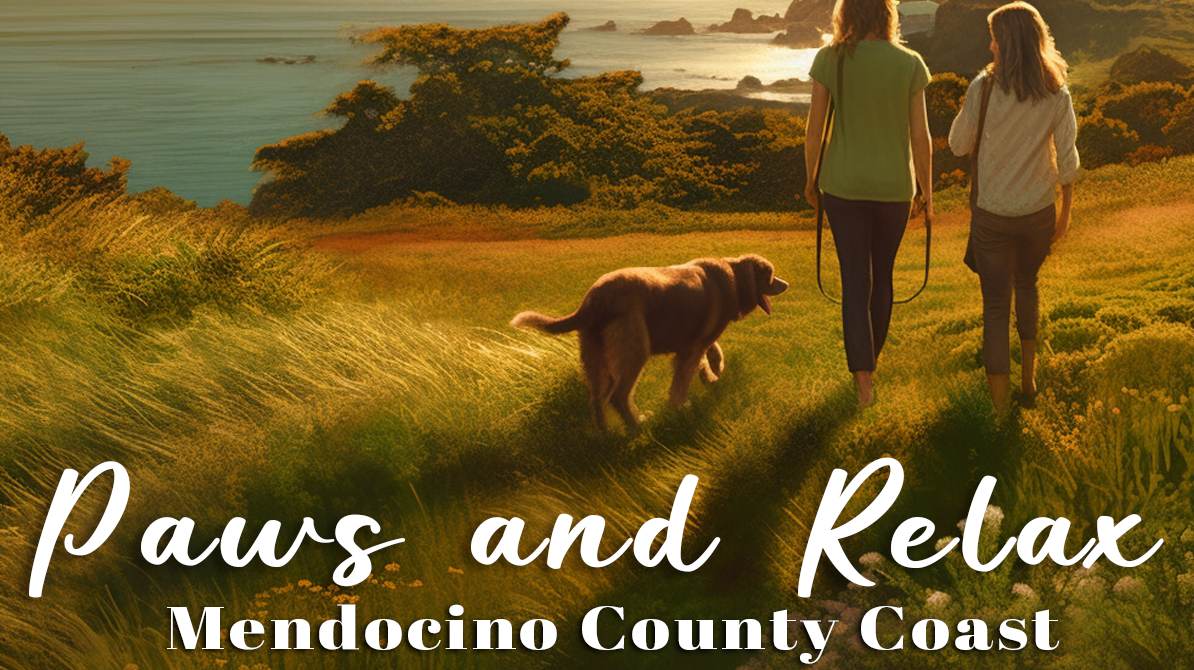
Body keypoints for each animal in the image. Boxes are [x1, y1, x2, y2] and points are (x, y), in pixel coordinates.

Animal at [511, 253, 783, 429]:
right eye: (770, 275)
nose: (787, 284)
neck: (733, 276)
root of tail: (593, 299)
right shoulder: (692, 348)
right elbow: (682, 381)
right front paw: (680, 408)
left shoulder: (693, 343)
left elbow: (709, 354)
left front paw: (712, 373)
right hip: (634, 351)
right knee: (618, 396)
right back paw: (637, 427)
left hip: (596, 359)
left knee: (597, 400)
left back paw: (605, 437)